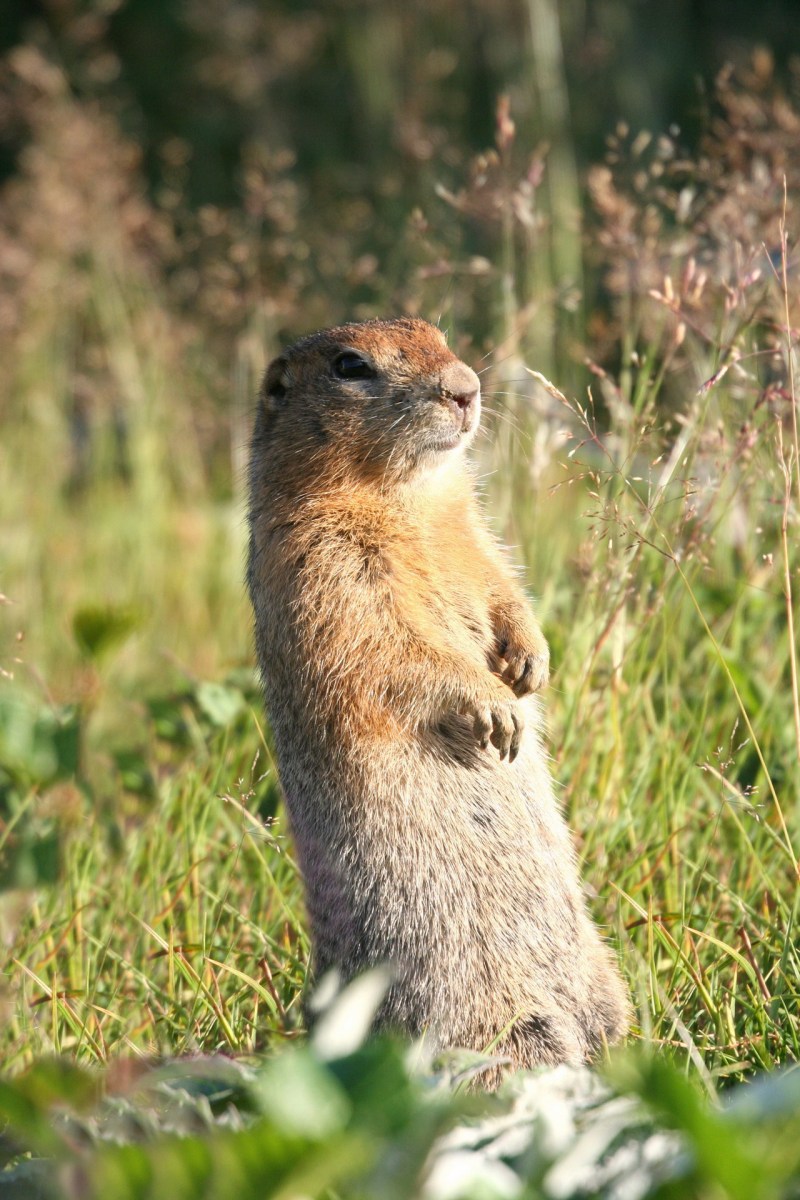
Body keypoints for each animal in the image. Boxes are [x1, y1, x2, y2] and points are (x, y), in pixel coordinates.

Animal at [247, 316, 628, 1070]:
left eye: (437, 332)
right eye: (350, 365)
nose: (466, 388)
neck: (410, 500)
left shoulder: (473, 538)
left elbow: (499, 583)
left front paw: (531, 661)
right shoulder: (321, 566)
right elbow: (389, 647)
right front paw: (496, 709)